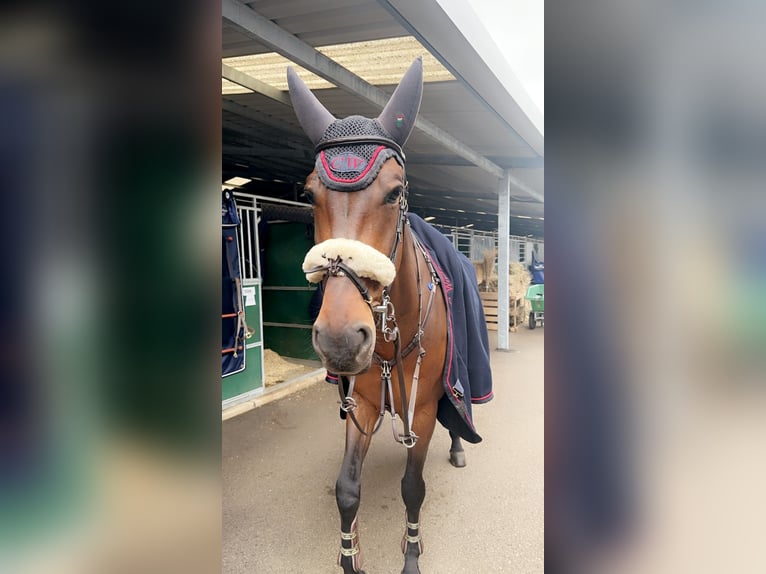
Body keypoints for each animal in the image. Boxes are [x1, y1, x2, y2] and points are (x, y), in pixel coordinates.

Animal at [288, 57, 468, 572]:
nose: (341, 339)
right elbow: (347, 489)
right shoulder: (363, 405)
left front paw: (411, 555)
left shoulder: (423, 408)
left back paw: (457, 448)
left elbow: (413, 487)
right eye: (309, 194)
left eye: (394, 193)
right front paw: (350, 556)